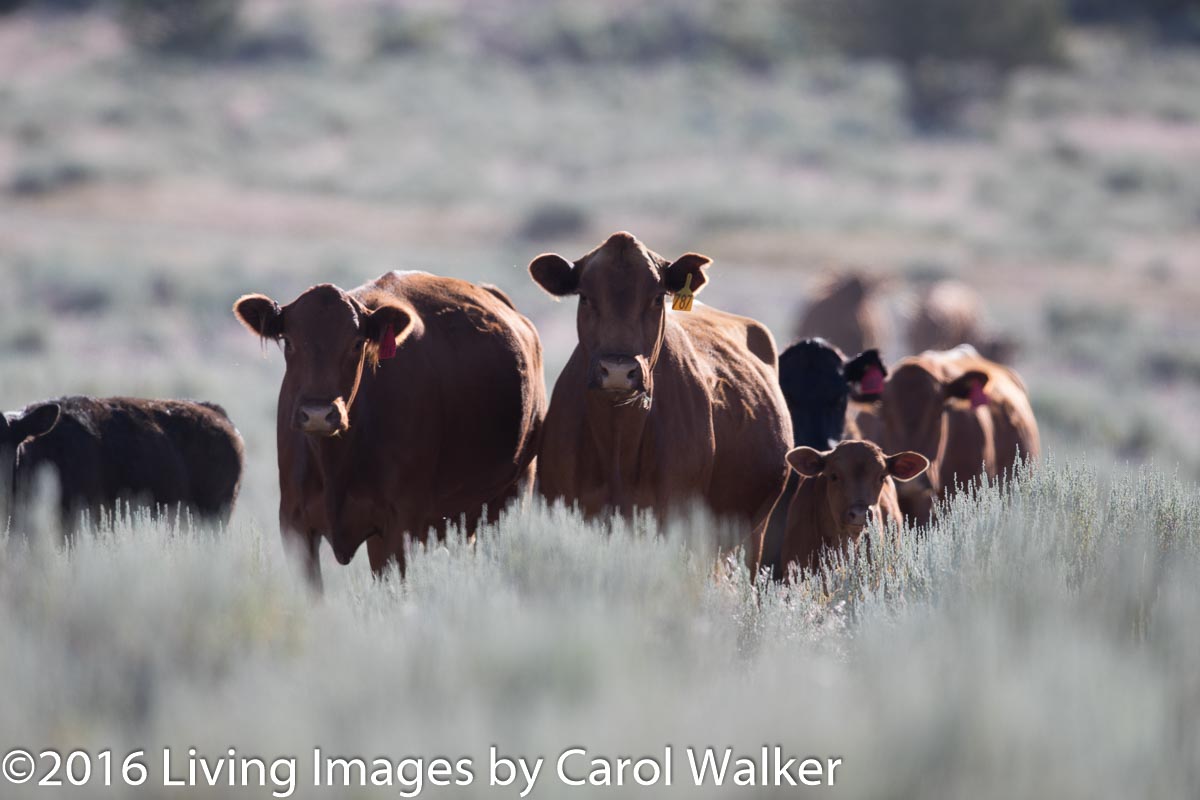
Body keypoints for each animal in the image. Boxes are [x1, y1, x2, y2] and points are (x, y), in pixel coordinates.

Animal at [234, 272, 544, 585]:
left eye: (357, 343)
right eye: (288, 341)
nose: (318, 414)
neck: (336, 461)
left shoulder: (398, 527)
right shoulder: (295, 523)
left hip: (509, 496)